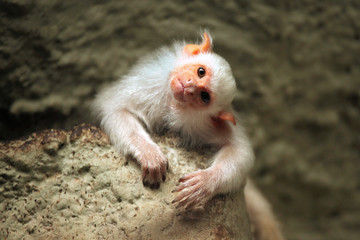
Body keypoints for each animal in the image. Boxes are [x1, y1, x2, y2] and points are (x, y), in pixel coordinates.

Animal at [93, 32, 256, 210]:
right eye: (201, 71)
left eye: (204, 96)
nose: (190, 86)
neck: (172, 104)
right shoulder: (149, 88)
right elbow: (114, 107)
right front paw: (149, 153)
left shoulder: (202, 125)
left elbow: (240, 150)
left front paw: (205, 182)